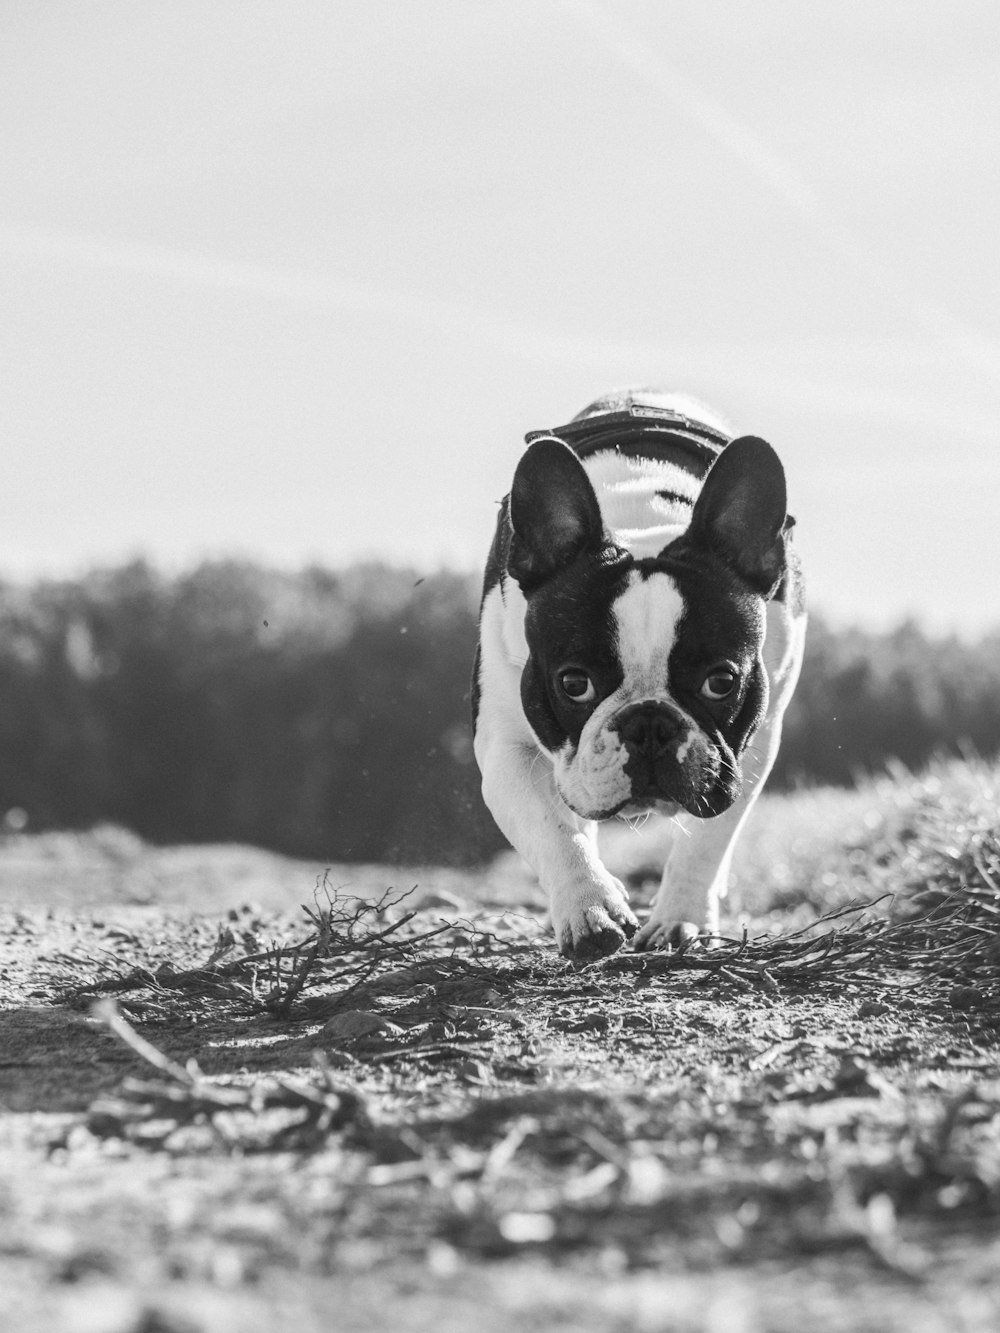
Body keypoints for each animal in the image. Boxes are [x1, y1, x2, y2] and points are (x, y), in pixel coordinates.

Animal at [474, 386, 810, 959]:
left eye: (721, 682)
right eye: (574, 684)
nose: (649, 724)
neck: (640, 518)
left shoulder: (748, 747)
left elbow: (709, 841)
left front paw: (681, 919)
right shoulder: (506, 750)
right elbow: (552, 828)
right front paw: (590, 907)